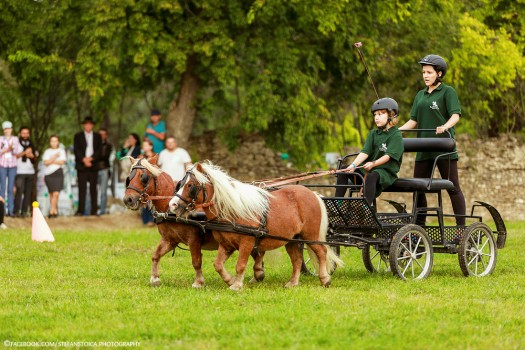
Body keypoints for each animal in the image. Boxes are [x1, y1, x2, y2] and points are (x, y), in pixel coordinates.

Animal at [123, 156, 268, 288]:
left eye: (143, 177)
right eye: (129, 177)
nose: (128, 200)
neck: (170, 210)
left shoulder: (193, 239)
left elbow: (196, 261)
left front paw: (199, 282)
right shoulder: (170, 239)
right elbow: (156, 255)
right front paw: (155, 279)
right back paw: (257, 274)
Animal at [168, 161, 346, 290]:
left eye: (191, 185)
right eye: (180, 183)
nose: (173, 205)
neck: (230, 210)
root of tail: (313, 194)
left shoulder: (247, 243)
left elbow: (241, 265)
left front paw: (236, 285)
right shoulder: (226, 244)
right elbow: (218, 265)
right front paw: (230, 280)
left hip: (311, 236)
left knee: (322, 252)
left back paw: (325, 279)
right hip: (292, 239)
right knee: (297, 259)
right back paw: (293, 282)